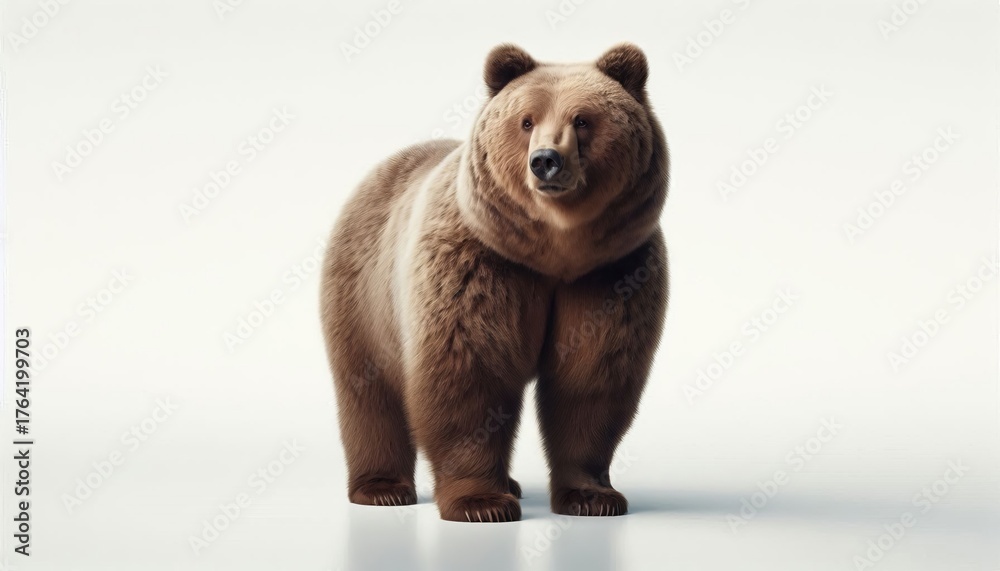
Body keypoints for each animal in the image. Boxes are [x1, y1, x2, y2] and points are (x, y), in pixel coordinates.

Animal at [320, 43, 669, 522]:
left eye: (582, 119)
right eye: (526, 120)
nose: (545, 161)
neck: (557, 251)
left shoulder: (612, 274)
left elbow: (590, 381)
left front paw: (593, 496)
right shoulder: (478, 266)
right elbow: (470, 375)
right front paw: (481, 503)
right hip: (364, 294)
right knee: (368, 391)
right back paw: (383, 489)